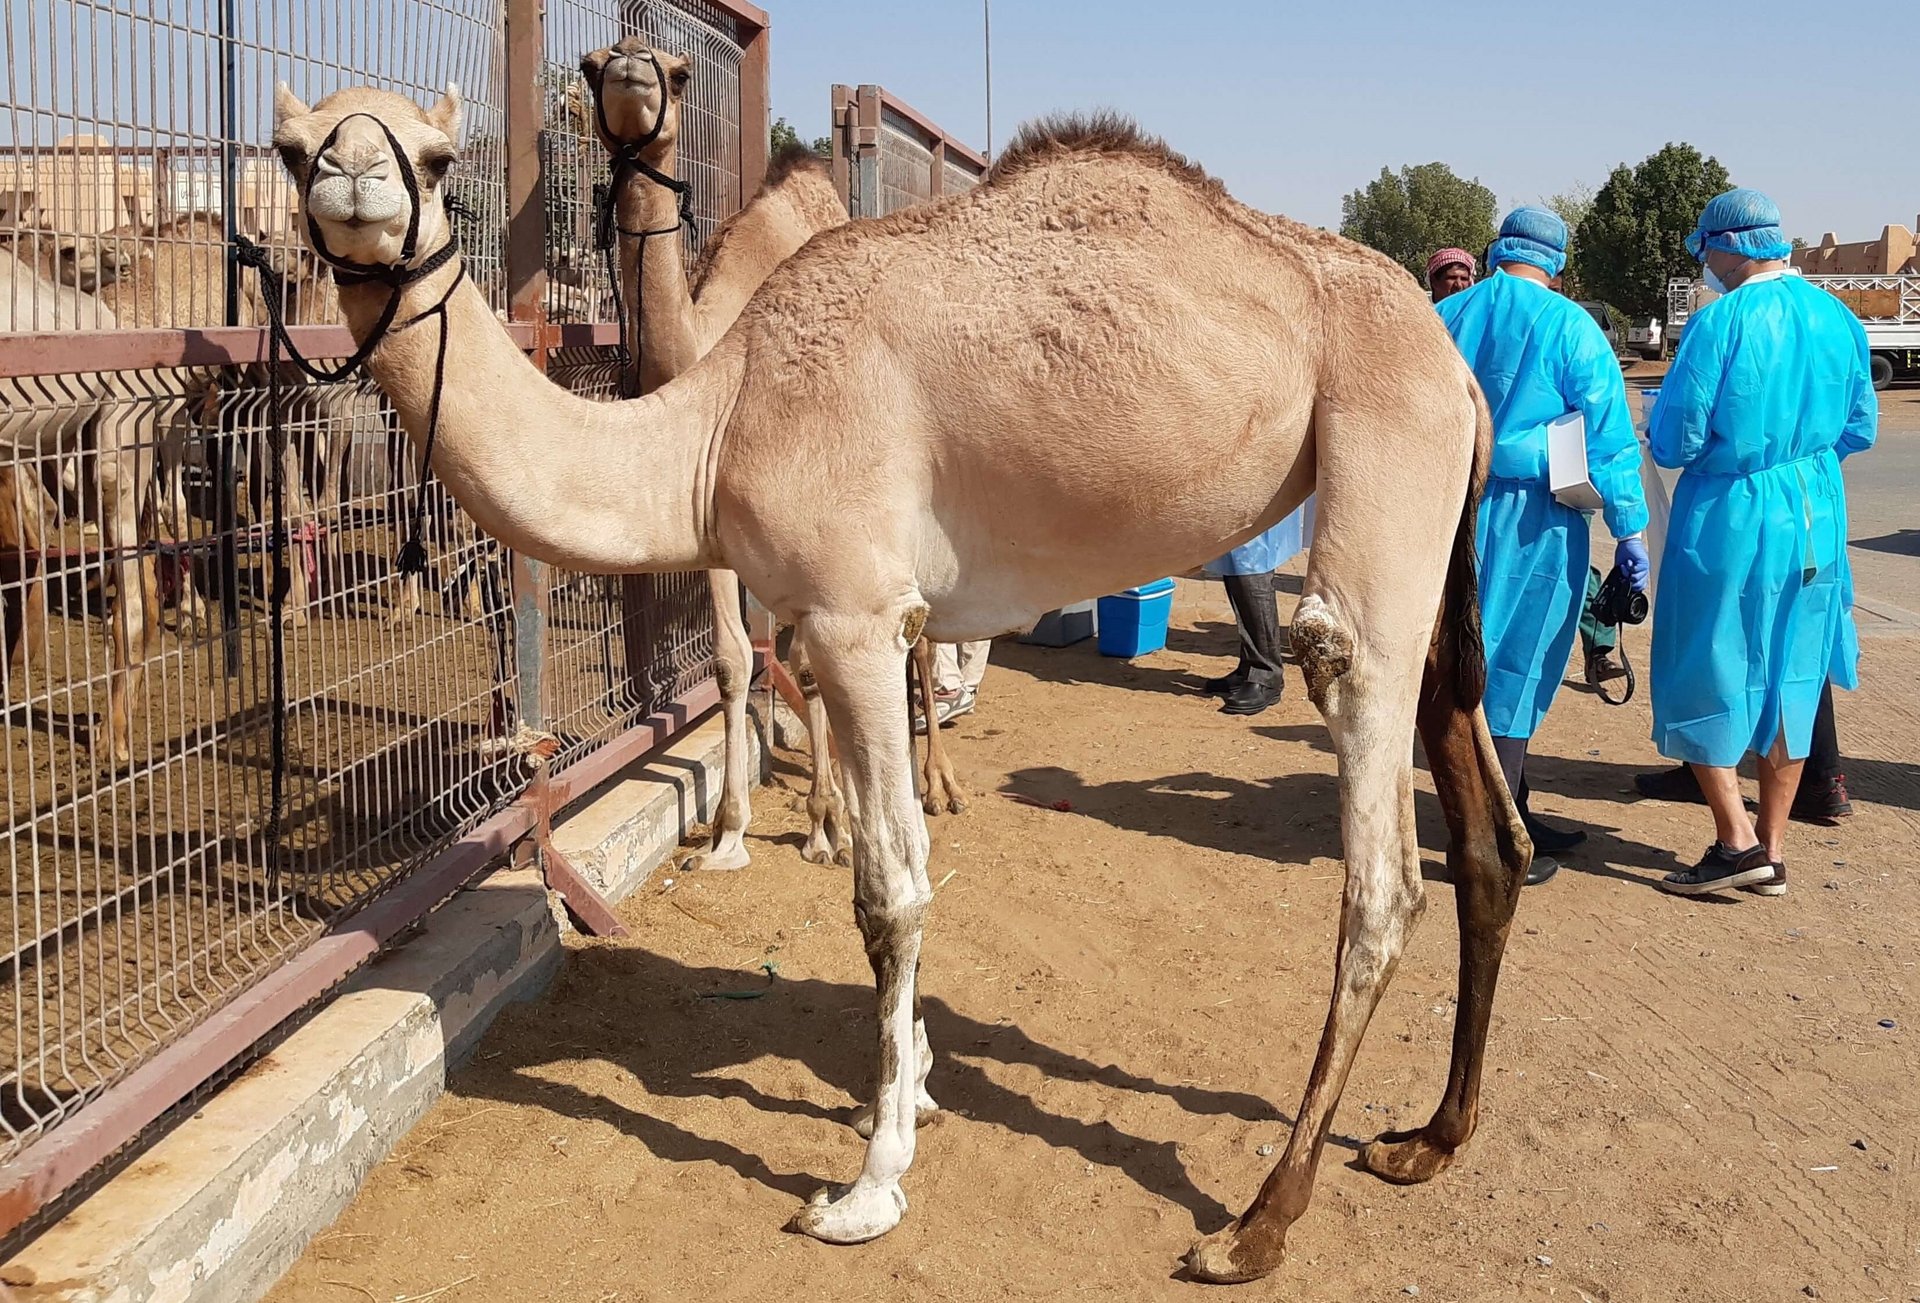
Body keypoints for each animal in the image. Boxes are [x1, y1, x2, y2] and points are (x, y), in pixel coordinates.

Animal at [270, 83, 1528, 1281]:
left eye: (436, 159)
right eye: (291, 151)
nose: (356, 181)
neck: (713, 430)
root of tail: (1459, 373)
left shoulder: (854, 615)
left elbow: (889, 892)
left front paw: (869, 1183)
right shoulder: (860, 616)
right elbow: (904, 863)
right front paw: (917, 1075)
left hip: (1381, 466)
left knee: (1378, 856)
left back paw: (1256, 1225)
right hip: (1431, 534)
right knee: (1488, 832)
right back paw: (1427, 1138)